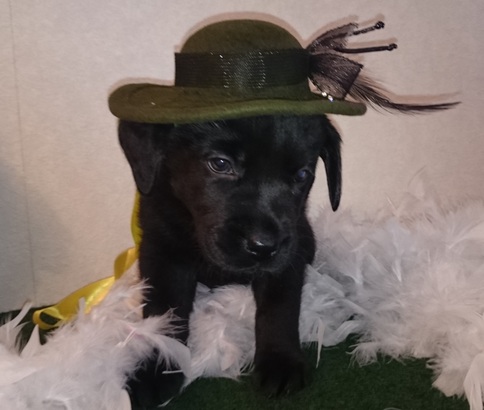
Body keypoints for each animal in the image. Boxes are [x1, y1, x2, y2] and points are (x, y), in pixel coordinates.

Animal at [119, 114, 342, 406]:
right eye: (220, 164)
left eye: (302, 175)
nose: (263, 246)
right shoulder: (162, 252)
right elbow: (164, 314)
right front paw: (158, 369)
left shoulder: (288, 257)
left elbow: (279, 309)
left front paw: (280, 361)